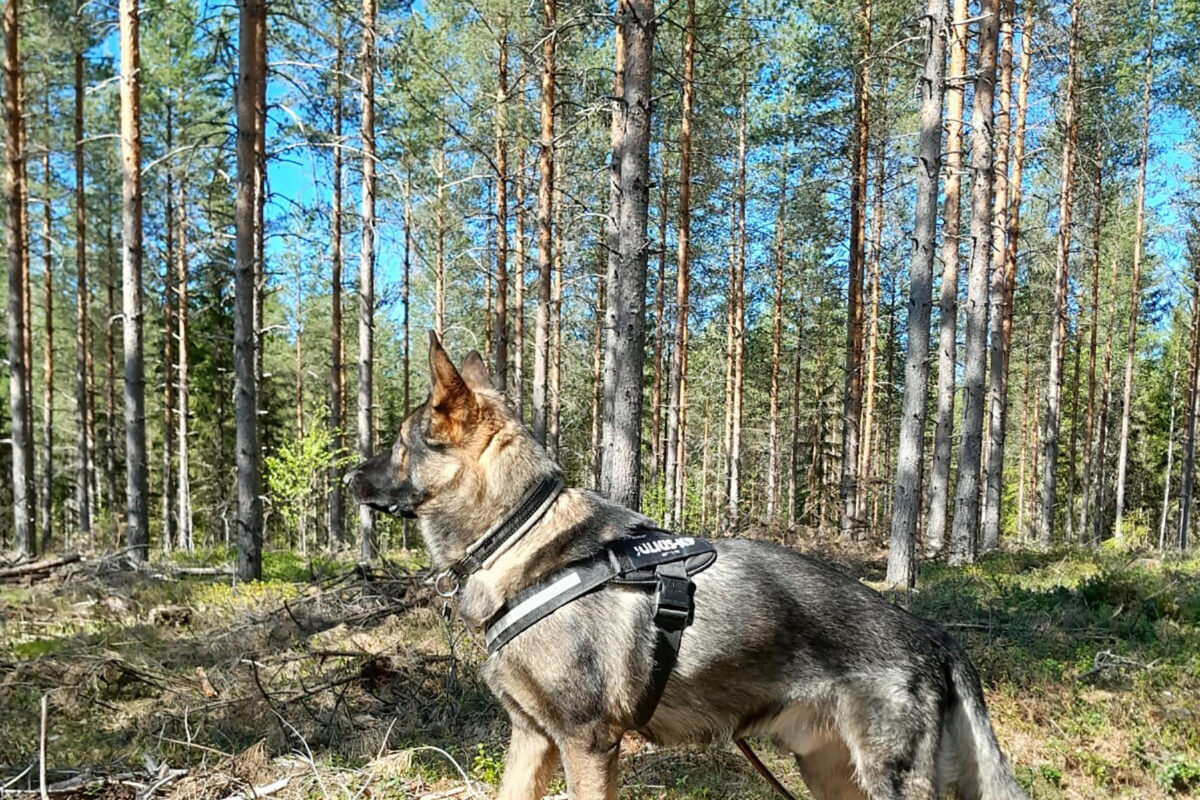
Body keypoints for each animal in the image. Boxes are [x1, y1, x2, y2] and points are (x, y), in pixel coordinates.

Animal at [343, 335, 1027, 800]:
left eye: (399, 445)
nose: (348, 478)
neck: (518, 533)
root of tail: (938, 641)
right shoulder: (532, 738)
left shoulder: (587, 743)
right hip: (830, 773)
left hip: (884, 780)